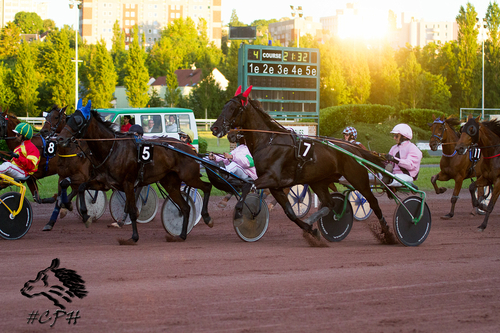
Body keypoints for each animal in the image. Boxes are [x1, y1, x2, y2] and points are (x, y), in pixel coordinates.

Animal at [56, 107, 213, 244]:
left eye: (77, 121)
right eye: (68, 118)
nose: (60, 138)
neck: (112, 149)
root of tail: (190, 150)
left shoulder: (128, 184)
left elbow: (132, 210)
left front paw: (134, 237)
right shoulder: (104, 183)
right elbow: (82, 187)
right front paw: (85, 215)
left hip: (189, 176)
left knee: (207, 186)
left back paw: (206, 218)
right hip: (170, 183)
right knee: (185, 207)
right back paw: (181, 235)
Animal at [211, 87, 394, 245]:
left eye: (233, 108)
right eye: (224, 106)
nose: (214, 127)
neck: (269, 141)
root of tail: (355, 148)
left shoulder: (272, 178)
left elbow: (247, 185)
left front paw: (240, 214)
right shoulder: (276, 186)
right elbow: (290, 213)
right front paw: (311, 230)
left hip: (357, 178)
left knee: (373, 202)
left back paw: (388, 233)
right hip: (318, 181)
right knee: (329, 204)